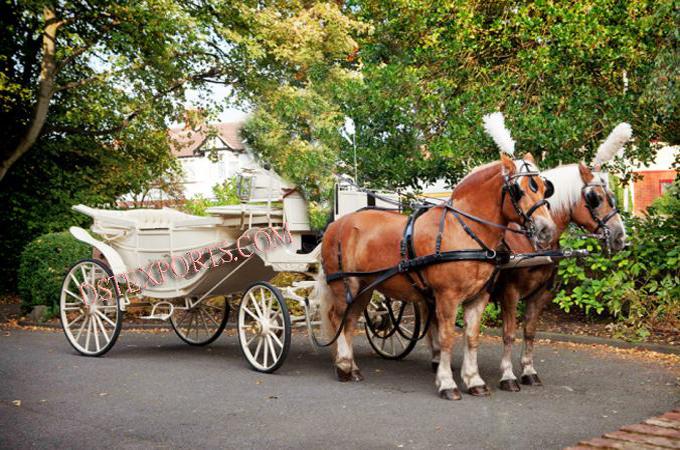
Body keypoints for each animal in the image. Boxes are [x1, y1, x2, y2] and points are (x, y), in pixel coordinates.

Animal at [318, 153, 556, 400]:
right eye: (519, 190)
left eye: (544, 188)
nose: (547, 230)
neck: (463, 230)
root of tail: (336, 224)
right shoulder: (447, 297)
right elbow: (446, 338)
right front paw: (447, 383)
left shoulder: (478, 297)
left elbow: (472, 337)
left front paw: (473, 380)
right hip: (345, 285)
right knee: (338, 318)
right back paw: (343, 366)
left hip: (364, 288)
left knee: (349, 322)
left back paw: (352, 368)